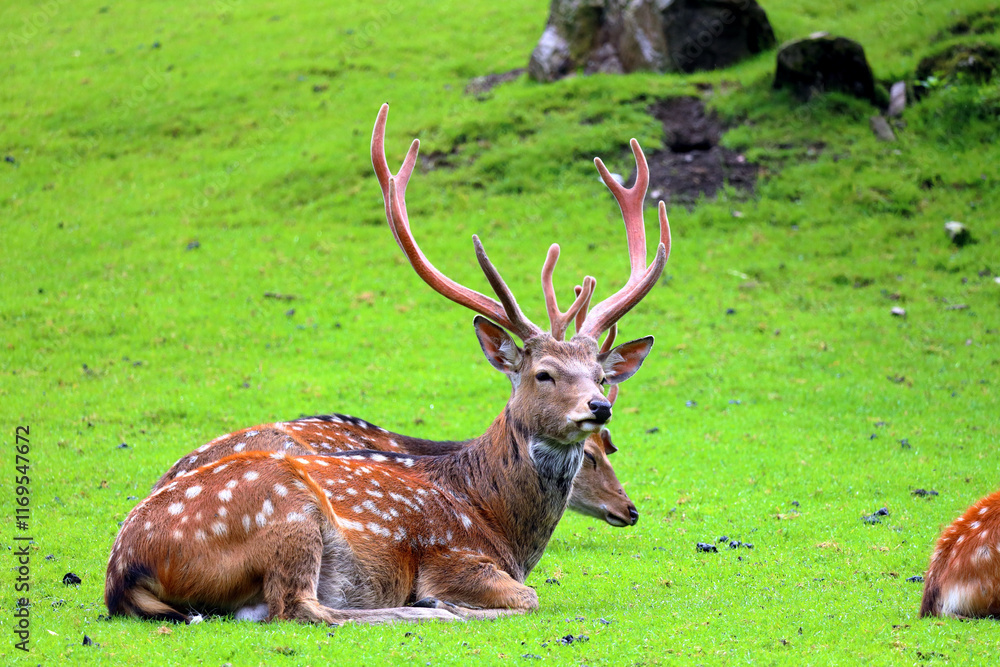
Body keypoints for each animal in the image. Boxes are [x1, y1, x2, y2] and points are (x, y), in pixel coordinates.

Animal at [104, 103, 669, 625]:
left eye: (600, 376)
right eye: (543, 373)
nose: (598, 407)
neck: (497, 522)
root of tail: (121, 573)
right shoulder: (453, 554)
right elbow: (528, 597)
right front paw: (446, 601)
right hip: (288, 514)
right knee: (302, 608)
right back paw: (433, 610)